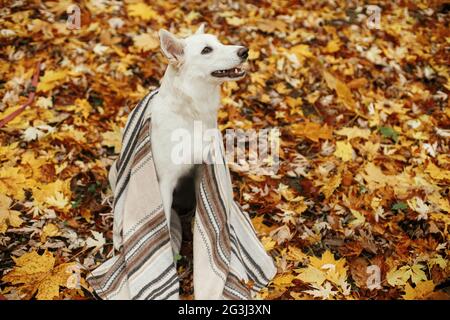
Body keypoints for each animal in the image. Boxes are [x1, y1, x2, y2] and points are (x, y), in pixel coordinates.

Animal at [149, 23, 250, 252]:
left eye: (219, 42)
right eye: (206, 50)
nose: (244, 51)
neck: (190, 115)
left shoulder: (200, 169)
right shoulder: (165, 182)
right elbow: (165, 223)